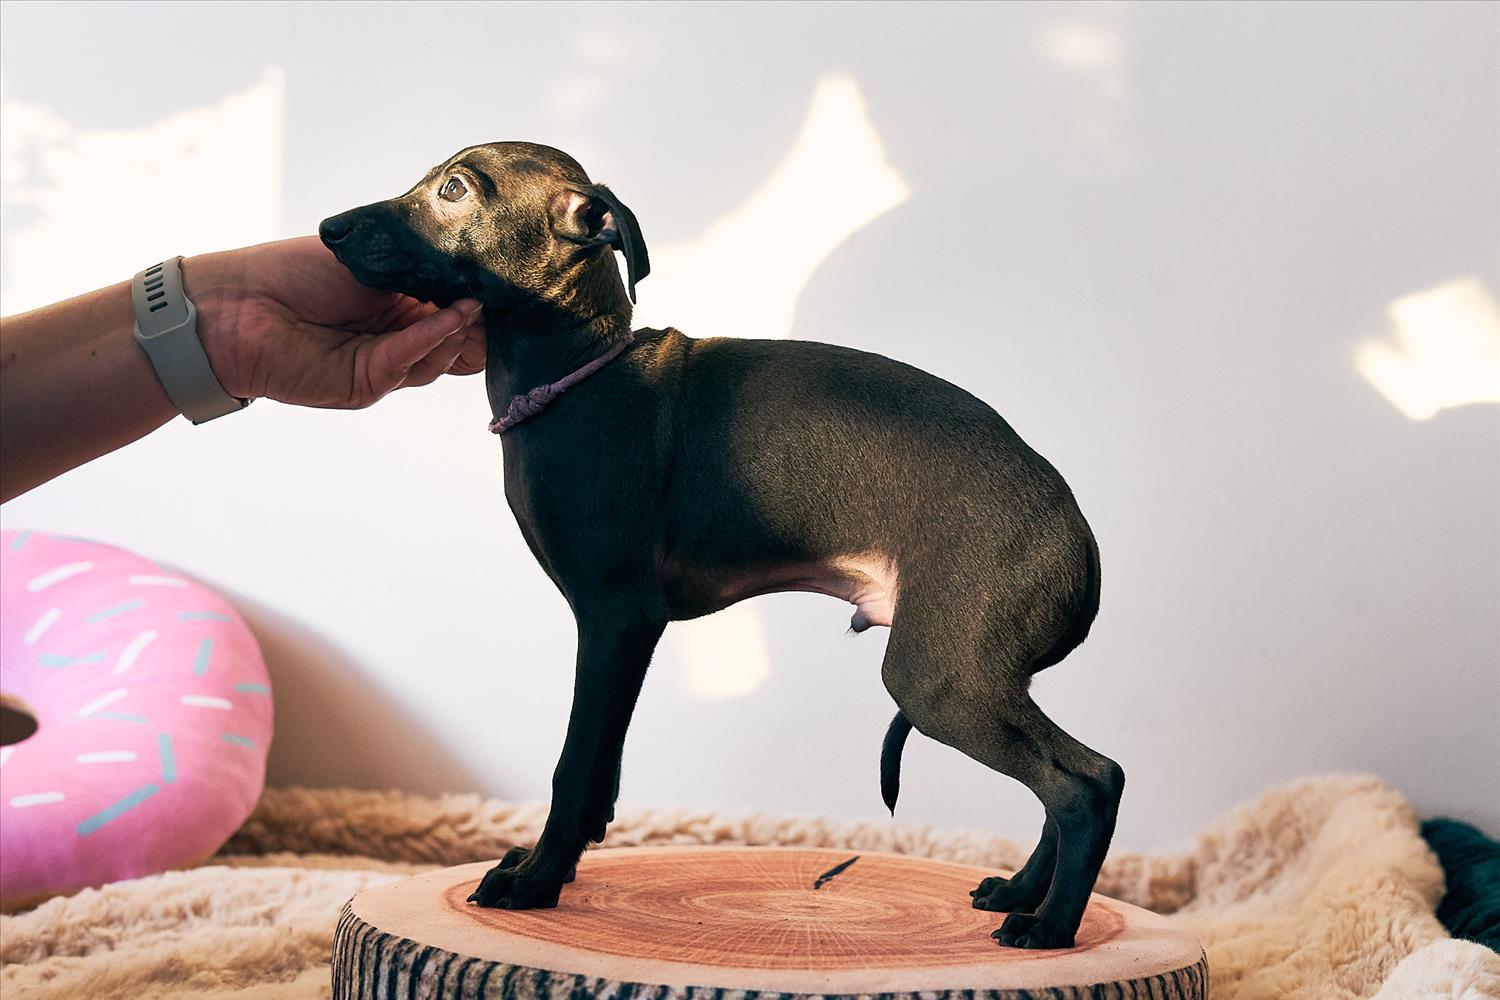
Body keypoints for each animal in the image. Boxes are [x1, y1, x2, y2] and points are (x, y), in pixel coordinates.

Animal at [319, 142, 1122, 949]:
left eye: (455, 190)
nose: (328, 229)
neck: (576, 374)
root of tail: (1078, 536)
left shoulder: (616, 618)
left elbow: (574, 766)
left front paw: (537, 880)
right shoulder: (622, 636)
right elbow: (602, 770)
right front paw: (558, 862)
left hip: (938, 678)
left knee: (1084, 784)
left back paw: (1050, 926)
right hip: (979, 674)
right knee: (1076, 778)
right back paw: (1021, 892)